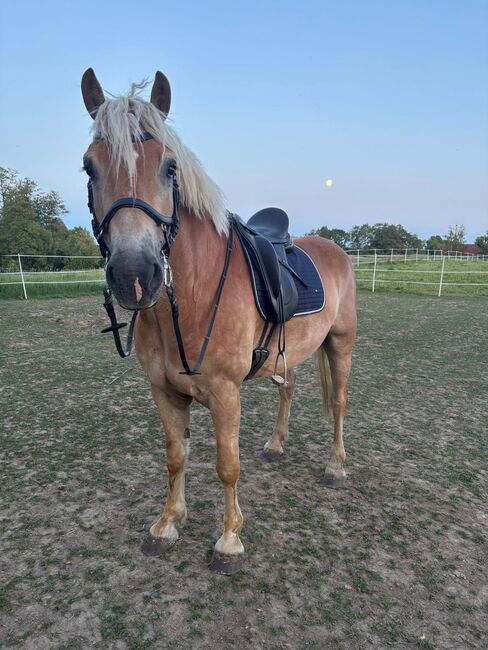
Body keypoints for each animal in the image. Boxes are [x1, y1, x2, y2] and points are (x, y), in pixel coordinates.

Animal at [81, 68, 357, 574]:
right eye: (89, 167)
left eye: (170, 167)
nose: (134, 274)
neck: (192, 292)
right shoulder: (164, 391)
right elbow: (176, 457)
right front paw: (167, 525)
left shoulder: (227, 395)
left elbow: (227, 465)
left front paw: (229, 541)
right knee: (288, 390)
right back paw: (276, 444)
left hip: (340, 344)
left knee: (341, 403)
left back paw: (336, 467)